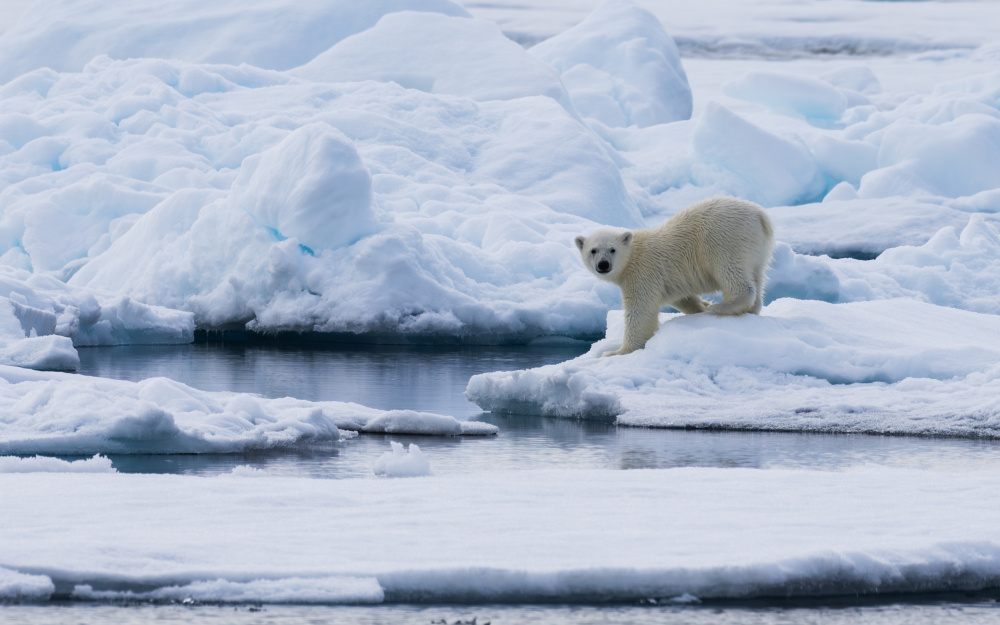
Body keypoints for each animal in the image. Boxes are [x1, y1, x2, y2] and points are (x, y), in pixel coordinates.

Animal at [575, 196, 775, 356]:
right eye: (593, 250)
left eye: (612, 250)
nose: (603, 264)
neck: (634, 254)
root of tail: (760, 215)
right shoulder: (669, 281)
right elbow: (682, 298)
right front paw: (701, 306)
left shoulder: (642, 273)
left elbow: (640, 311)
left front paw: (616, 352)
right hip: (757, 250)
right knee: (757, 275)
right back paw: (749, 308)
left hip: (722, 238)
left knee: (730, 271)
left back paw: (722, 307)